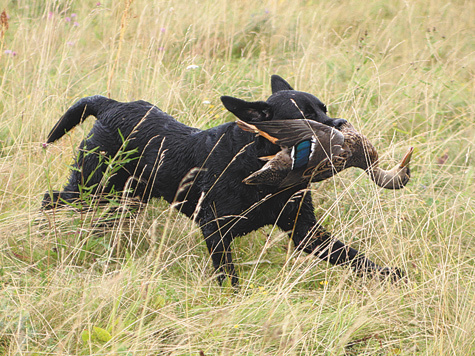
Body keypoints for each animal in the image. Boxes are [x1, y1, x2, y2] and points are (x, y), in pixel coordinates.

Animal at [43, 76, 402, 286]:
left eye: (324, 108)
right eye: (305, 115)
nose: (341, 125)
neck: (258, 163)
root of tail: (110, 105)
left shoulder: (305, 231)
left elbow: (355, 257)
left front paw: (394, 276)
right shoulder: (215, 228)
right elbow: (229, 277)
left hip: (125, 198)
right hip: (91, 187)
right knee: (50, 199)